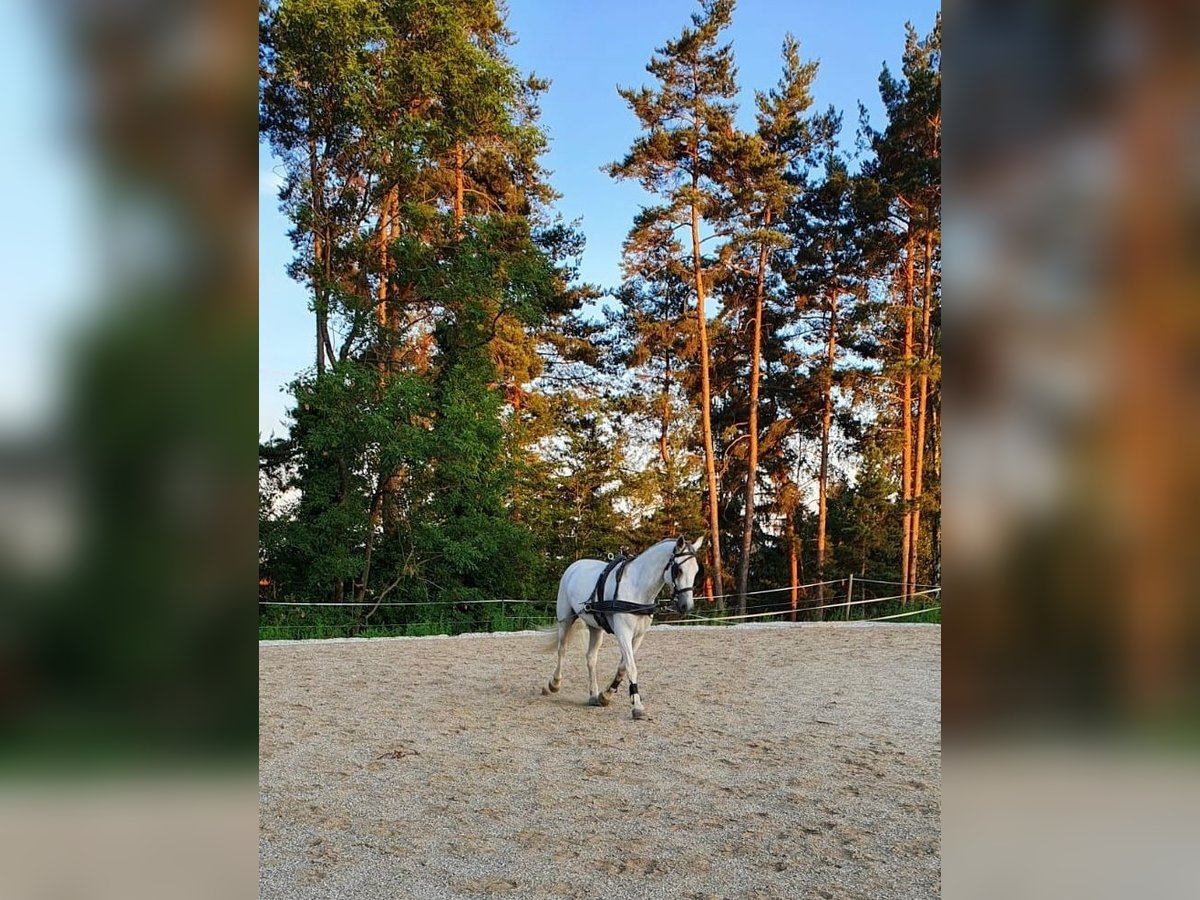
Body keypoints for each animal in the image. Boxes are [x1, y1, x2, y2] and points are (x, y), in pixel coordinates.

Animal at [544, 540, 700, 724]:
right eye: (679, 569)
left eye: (696, 570)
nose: (686, 606)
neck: (637, 589)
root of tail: (575, 565)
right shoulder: (623, 633)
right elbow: (631, 667)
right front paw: (637, 707)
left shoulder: (638, 637)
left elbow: (622, 667)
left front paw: (606, 695)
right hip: (565, 619)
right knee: (562, 650)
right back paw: (554, 684)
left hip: (595, 627)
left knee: (591, 658)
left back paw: (594, 695)